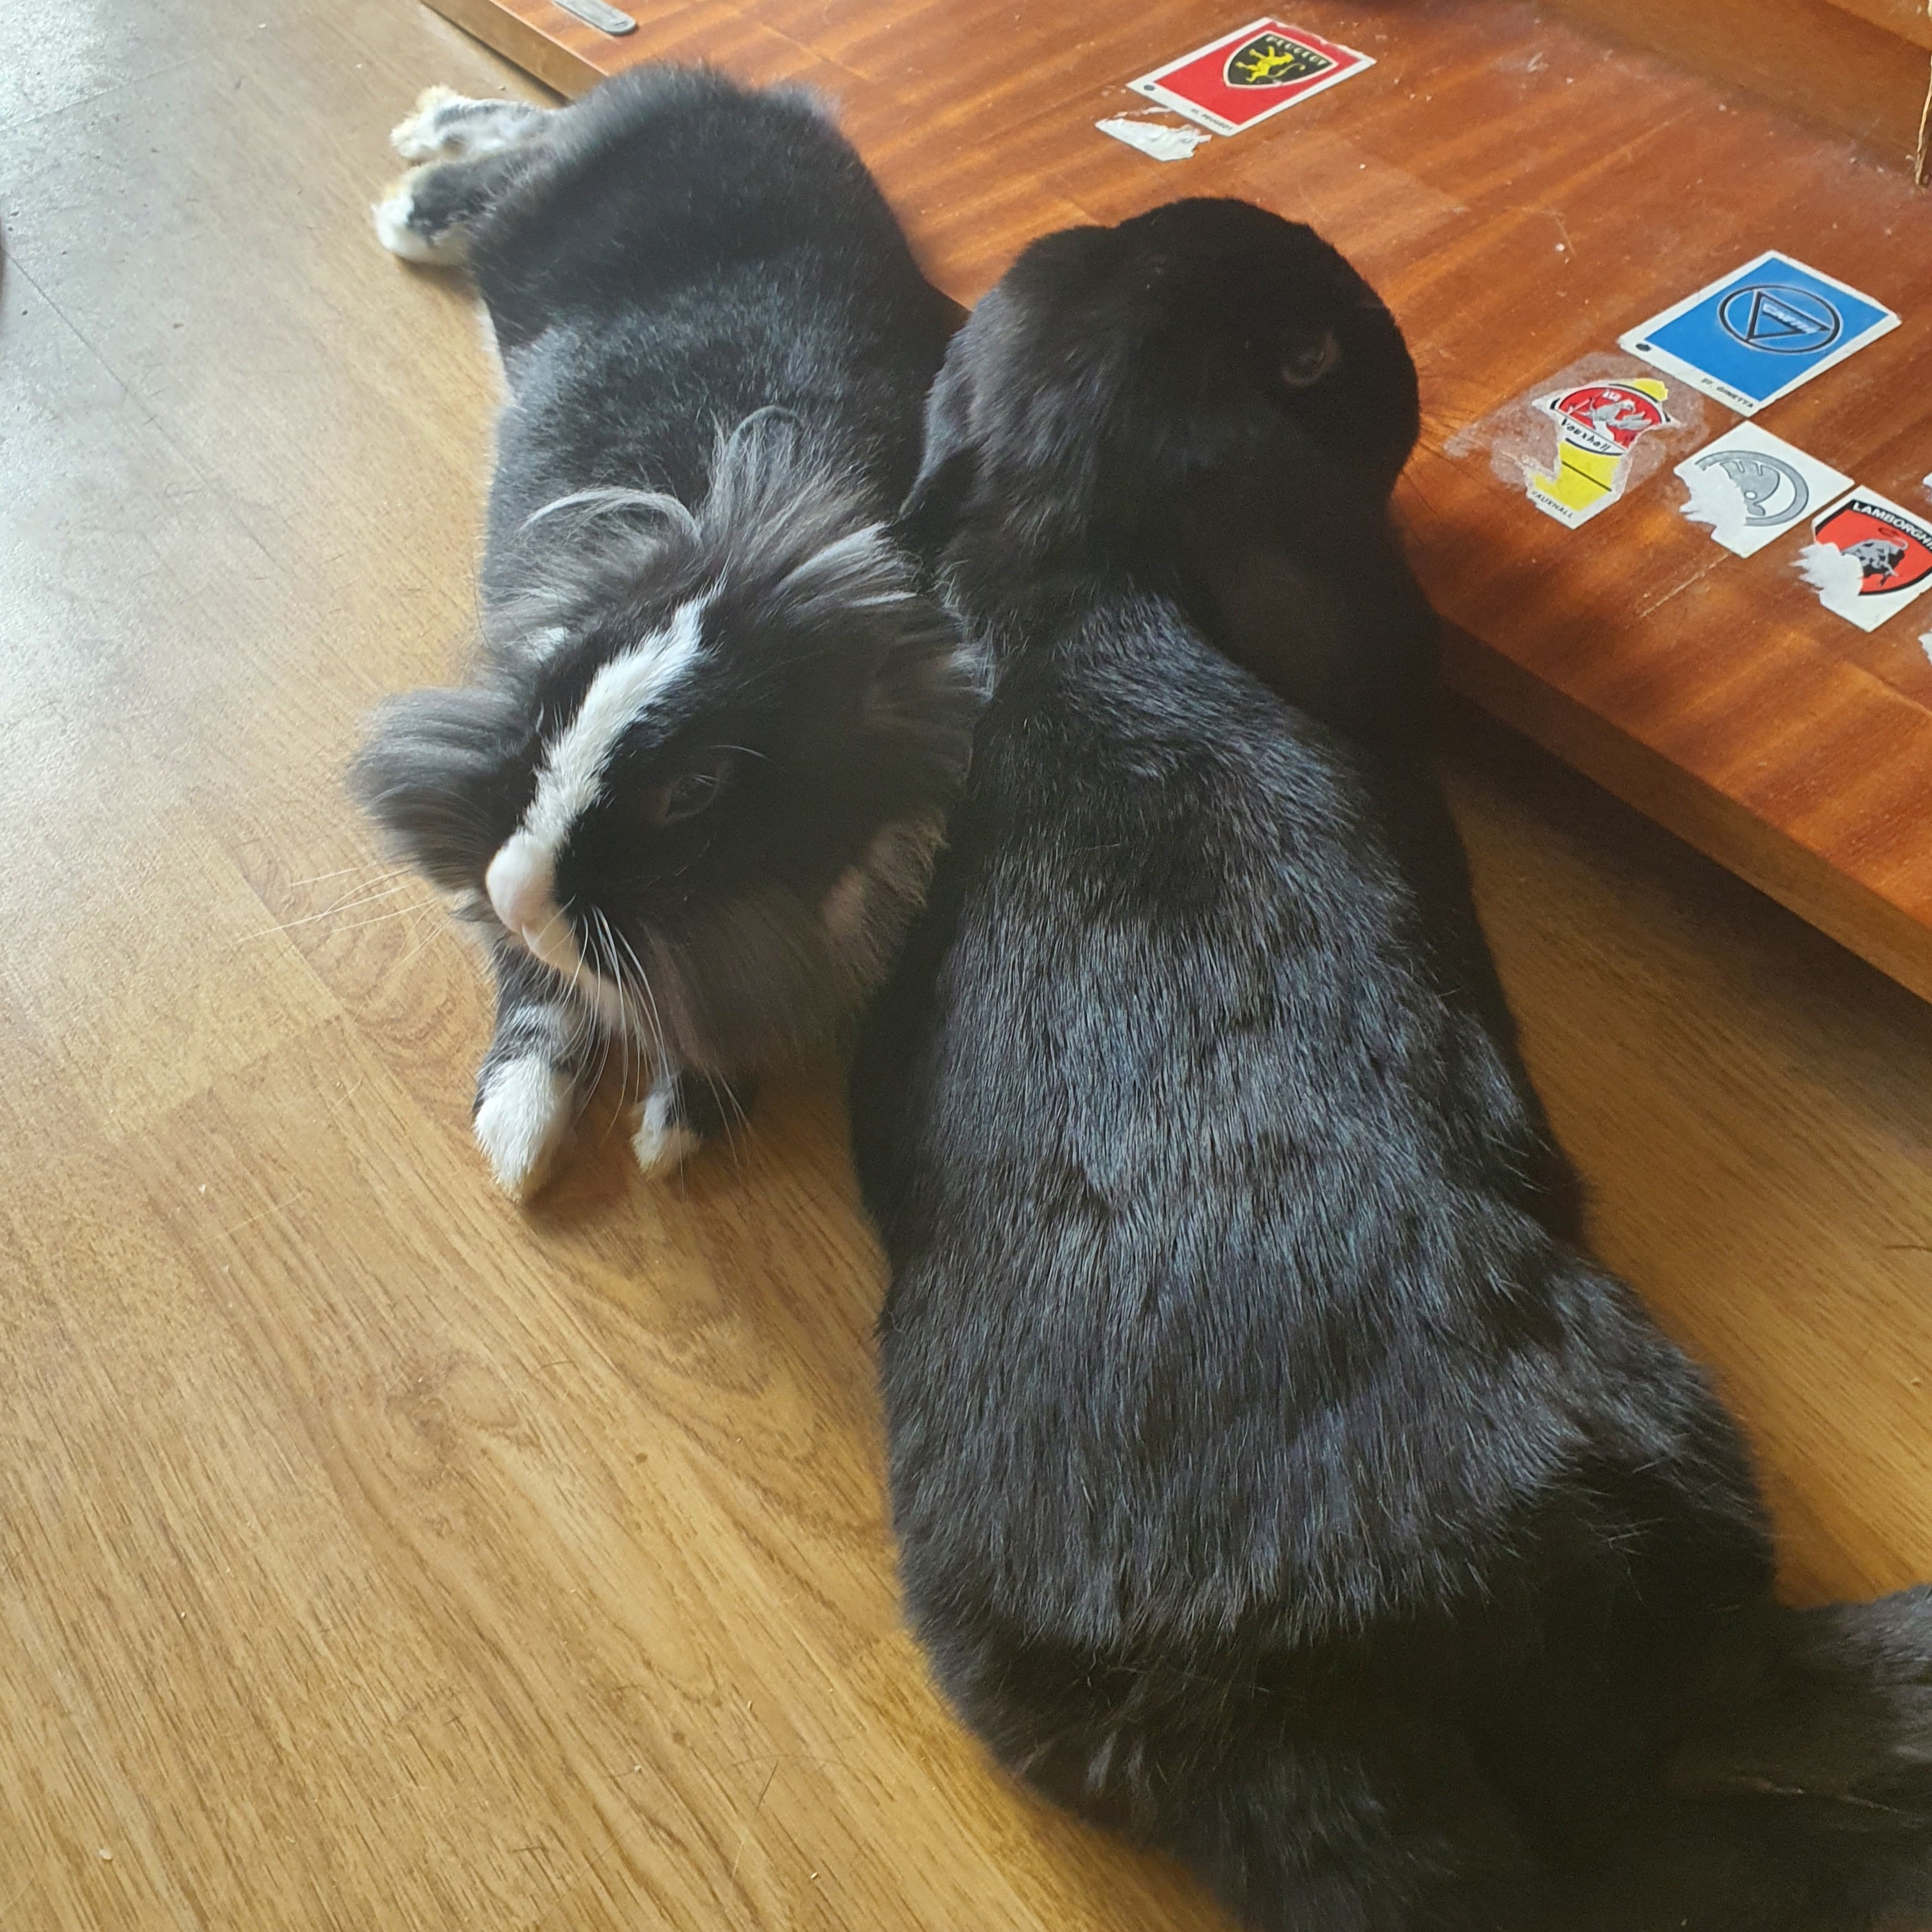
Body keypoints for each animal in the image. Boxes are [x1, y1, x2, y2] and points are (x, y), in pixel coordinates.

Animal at [352, 68, 976, 1197]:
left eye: (695, 790)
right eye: (550, 702)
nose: (515, 893)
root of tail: (734, 92)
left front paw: (671, 1129)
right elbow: (536, 995)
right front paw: (519, 1137)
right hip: (540, 212)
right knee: (520, 146)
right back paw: (416, 189)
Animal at [849, 197, 1932, 1932]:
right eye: (1304, 356)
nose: (1392, 343)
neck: (1067, 582)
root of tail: (1273, 1692)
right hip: (1648, 1461)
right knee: (1706, 1749)